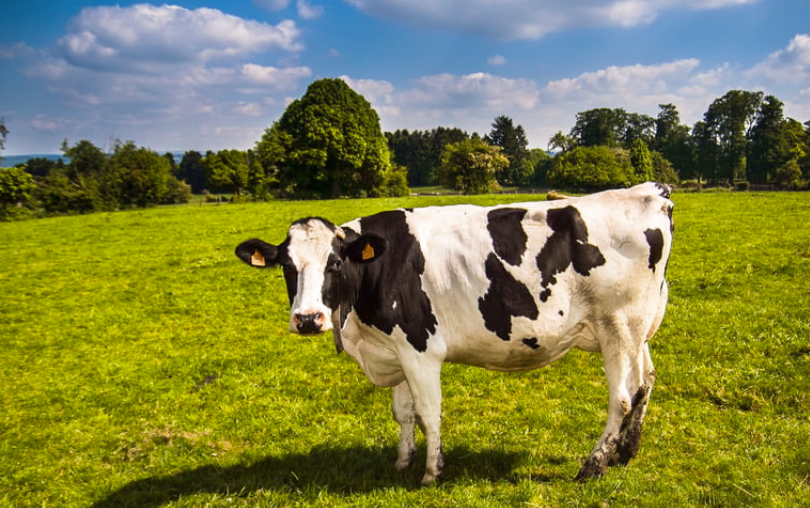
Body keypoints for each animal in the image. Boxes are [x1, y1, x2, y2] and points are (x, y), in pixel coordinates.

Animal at [235, 182, 674, 485]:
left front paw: (432, 472)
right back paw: (625, 452)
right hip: (637, 329)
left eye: (336, 263)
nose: (308, 319)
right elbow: (403, 412)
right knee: (645, 382)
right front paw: (402, 461)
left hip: (617, 326)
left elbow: (429, 412)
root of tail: (650, 191)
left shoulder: (419, 349)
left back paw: (593, 465)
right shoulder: (395, 349)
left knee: (621, 398)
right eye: (287, 266)